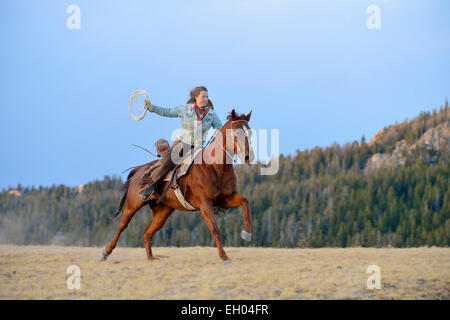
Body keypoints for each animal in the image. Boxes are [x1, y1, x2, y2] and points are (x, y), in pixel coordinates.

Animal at [103, 109, 255, 262]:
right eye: (235, 133)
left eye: (250, 133)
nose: (248, 157)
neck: (215, 167)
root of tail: (139, 170)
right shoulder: (205, 203)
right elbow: (214, 229)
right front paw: (224, 257)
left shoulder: (226, 199)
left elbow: (245, 202)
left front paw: (246, 233)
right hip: (132, 205)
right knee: (122, 226)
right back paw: (106, 252)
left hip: (163, 211)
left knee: (147, 232)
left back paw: (151, 257)